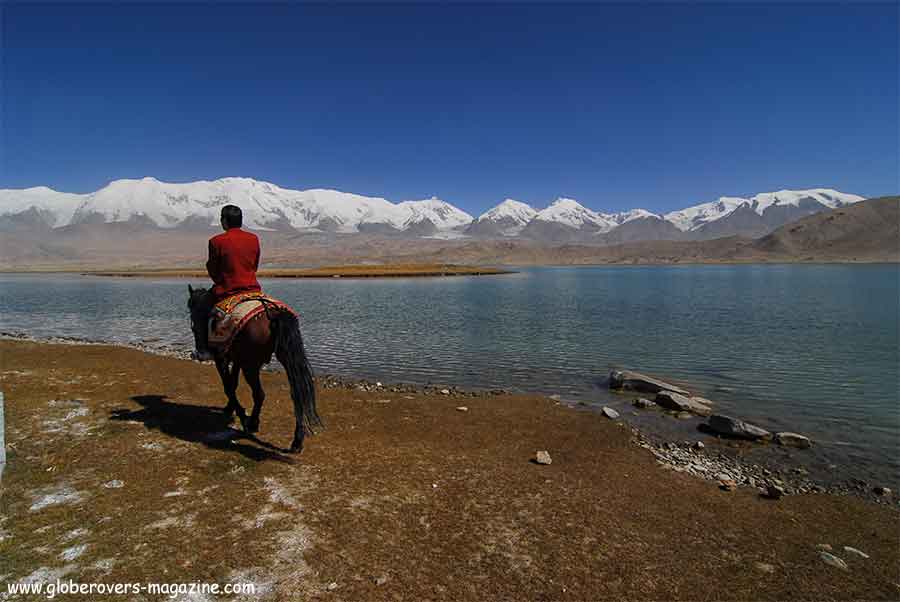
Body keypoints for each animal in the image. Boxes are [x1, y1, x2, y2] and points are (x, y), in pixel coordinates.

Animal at [185, 286, 322, 450]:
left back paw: (252, 423)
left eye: (192, 308)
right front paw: (229, 408)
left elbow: (228, 386)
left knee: (259, 394)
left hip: (251, 366)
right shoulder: (237, 359)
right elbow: (233, 383)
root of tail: (275, 314)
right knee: (297, 393)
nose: (199, 352)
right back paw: (297, 440)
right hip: (286, 359)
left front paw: (241, 414)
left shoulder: (222, 358)